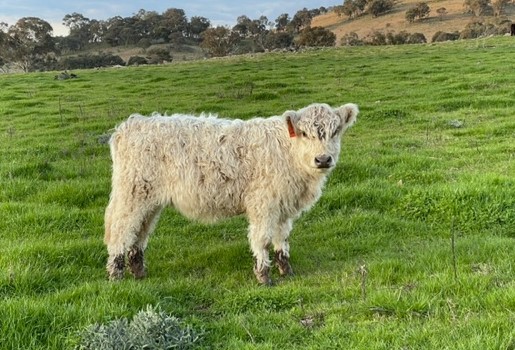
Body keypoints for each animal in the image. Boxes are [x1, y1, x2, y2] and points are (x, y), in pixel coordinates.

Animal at [104, 102, 358, 284]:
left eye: (336, 131)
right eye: (304, 133)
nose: (323, 159)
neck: (289, 153)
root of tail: (132, 124)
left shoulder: (283, 207)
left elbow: (281, 239)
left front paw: (286, 270)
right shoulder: (263, 204)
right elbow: (262, 238)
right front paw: (263, 276)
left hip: (149, 201)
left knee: (139, 233)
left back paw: (138, 272)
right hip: (132, 195)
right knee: (120, 230)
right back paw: (116, 275)